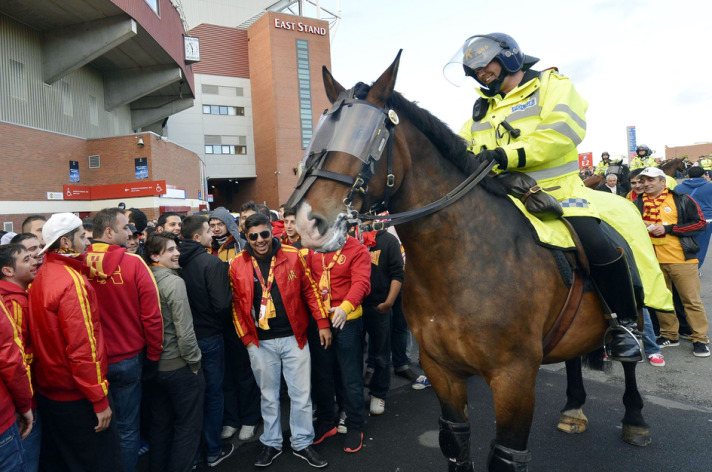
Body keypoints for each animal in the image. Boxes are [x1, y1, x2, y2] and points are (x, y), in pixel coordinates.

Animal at [286, 53, 652, 470]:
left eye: (368, 134)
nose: (306, 222)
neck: (461, 261)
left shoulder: (514, 379)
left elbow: (506, 455)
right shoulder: (441, 369)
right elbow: (455, 440)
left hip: (635, 311)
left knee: (630, 360)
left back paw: (634, 416)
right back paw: (573, 408)